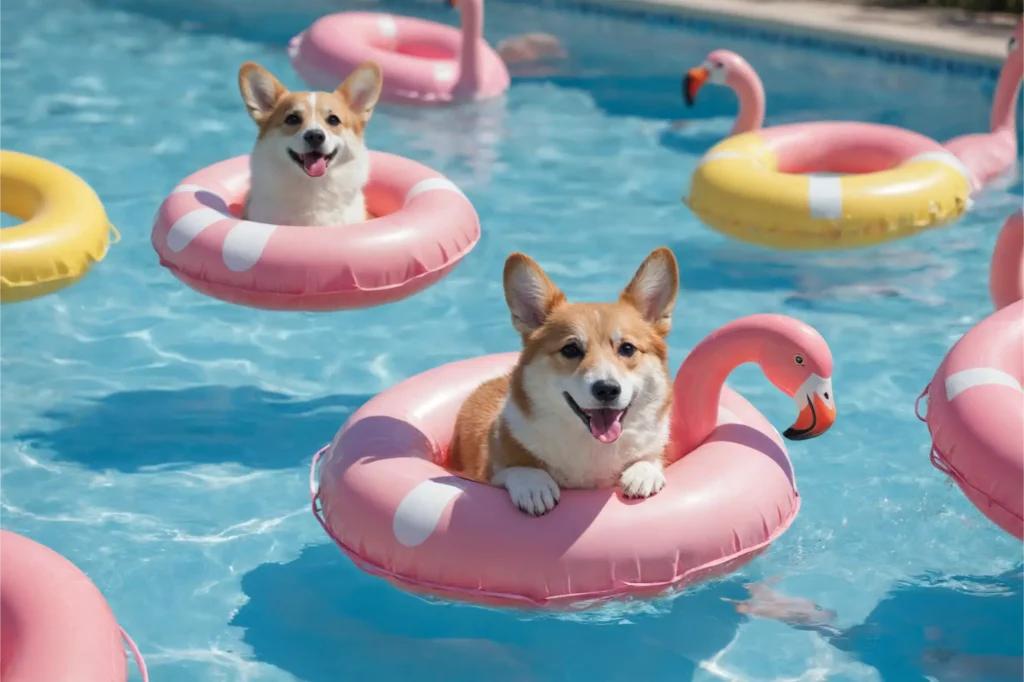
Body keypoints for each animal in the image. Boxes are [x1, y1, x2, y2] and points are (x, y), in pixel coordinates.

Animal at [450, 246, 679, 512]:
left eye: (627, 348)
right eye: (570, 349)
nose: (607, 389)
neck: (592, 446)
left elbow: (651, 457)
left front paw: (643, 472)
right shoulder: (485, 469)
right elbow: (514, 468)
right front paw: (533, 484)